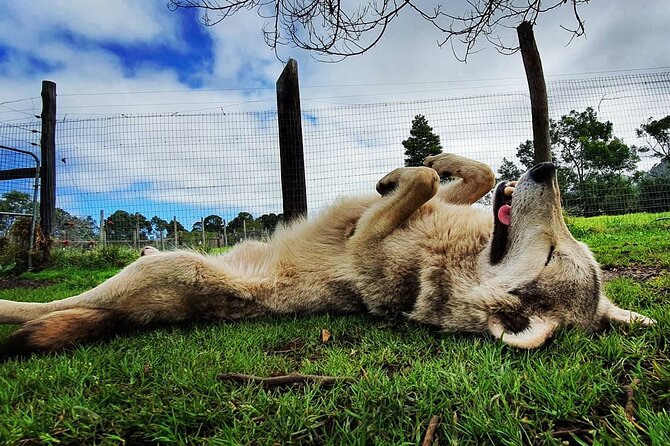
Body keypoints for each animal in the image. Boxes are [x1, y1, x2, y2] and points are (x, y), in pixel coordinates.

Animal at [0, 153, 654, 358]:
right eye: (566, 243)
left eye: (551, 254)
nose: (547, 168)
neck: (458, 254)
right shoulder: (439, 204)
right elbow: (464, 174)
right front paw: (424, 163)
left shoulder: (368, 239)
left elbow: (419, 183)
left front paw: (407, 173)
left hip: (162, 270)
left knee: (46, 310)